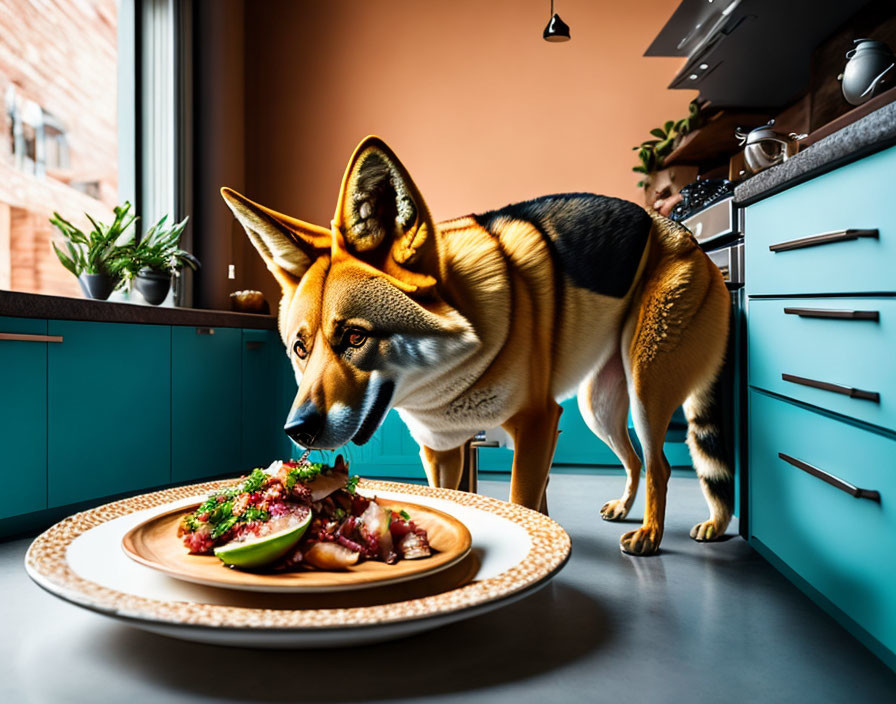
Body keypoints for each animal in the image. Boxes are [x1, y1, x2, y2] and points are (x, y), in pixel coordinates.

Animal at [220, 136, 732, 556]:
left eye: (355, 337)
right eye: (300, 349)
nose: (296, 430)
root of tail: (683, 233)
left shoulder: (538, 425)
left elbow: (525, 501)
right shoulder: (441, 449)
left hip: (645, 393)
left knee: (661, 464)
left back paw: (654, 534)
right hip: (599, 408)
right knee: (635, 459)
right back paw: (634, 512)